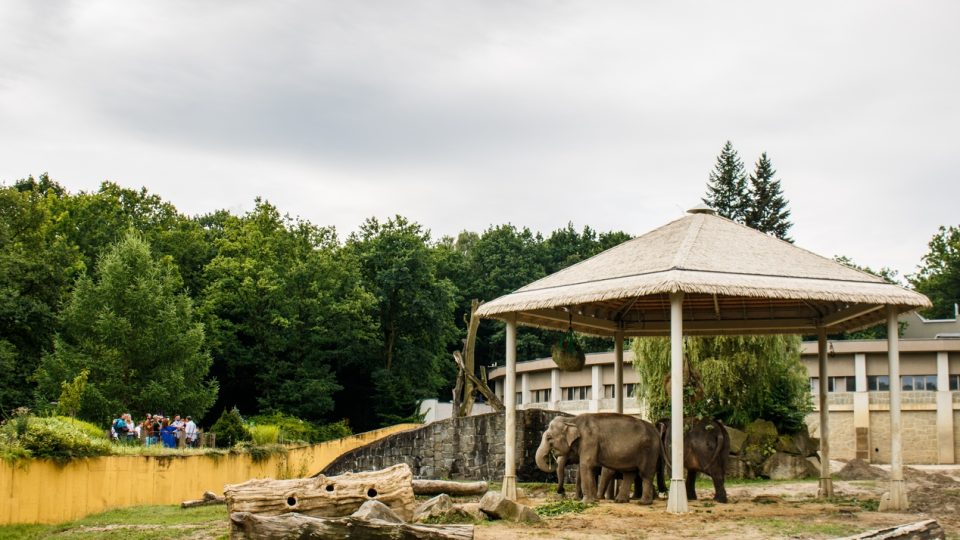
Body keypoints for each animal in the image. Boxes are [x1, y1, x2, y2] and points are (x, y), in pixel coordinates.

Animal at [536, 412, 664, 504]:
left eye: (549, 438)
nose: (562, 492)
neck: (571, 420)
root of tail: (656, 431)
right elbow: (590, 468)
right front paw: (594, 500)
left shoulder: (589, 441)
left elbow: (586, 465)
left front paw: (585, 502)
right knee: (629, 474)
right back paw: (620, 501)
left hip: (649, 451)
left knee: (645, 474)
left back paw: (643, 502)